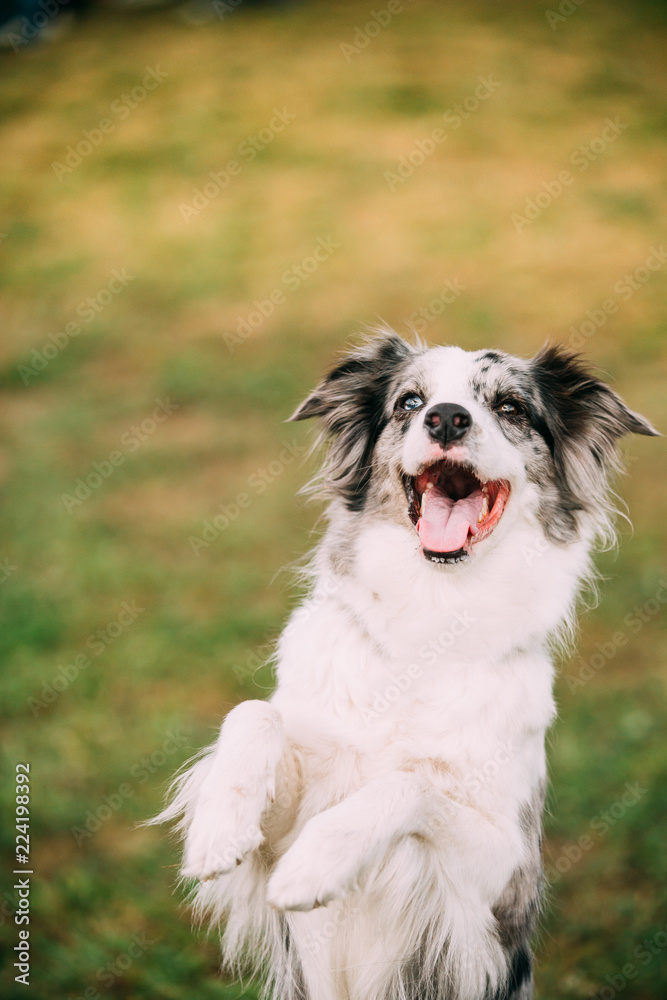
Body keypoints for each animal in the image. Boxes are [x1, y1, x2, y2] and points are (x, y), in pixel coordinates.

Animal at [153, 334, 656, 1000]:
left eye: (511, 407)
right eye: (410, 402)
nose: (445, 417)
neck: (428, 620)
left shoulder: (505, 877)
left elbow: (409, 784)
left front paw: (318, 862)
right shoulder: (278, 831)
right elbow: (253, 712)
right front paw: (217, 829)